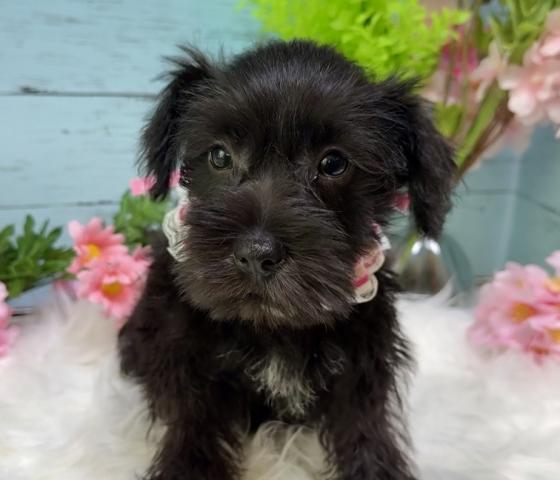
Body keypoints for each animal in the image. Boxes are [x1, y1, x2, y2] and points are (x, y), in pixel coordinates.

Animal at [118, 40, 455, 480]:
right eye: (220, 156)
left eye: (334, 163)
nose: (256, 254)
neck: (275, 324)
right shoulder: (191, 360)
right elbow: (195, 425)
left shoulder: (361, 365)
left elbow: (365, 429)